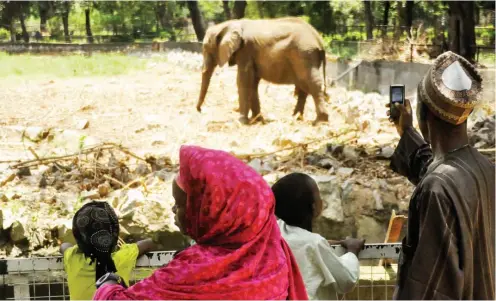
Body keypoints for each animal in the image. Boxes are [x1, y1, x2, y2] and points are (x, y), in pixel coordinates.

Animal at [197, 17, 330, 125]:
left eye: (206, 48)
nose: (200, 110)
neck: (229, 24)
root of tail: (319, 40)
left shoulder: (245, 51)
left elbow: (243, 81)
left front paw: (241, 121)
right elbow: (252, 83)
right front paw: (257, 120)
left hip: (304, 55)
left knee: (312, 83)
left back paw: (319, 122)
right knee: (304, 87)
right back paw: (295, 118)